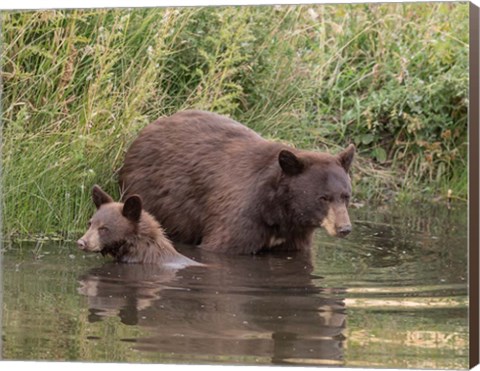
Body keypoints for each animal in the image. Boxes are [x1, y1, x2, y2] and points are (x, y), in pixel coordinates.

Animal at [118, 109, 354, 256]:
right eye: (323, 197)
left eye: (346, 196)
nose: (344, 228)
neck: (278, 209)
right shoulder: (240, 218)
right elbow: (223, 245)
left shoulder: (294, 236)